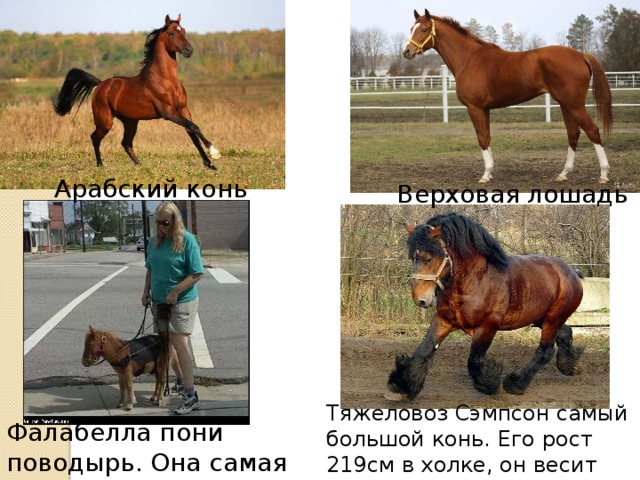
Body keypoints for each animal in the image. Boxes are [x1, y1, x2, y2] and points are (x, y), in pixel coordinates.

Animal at [53, 14, 221, 170]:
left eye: (184, 31)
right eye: (172, 33)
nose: (189, 50)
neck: (166, 80)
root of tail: (100, 84)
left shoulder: (183, 109)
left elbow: (192, 132)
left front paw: (209, 164)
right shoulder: (168, 112)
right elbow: (194, 127)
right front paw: (215, 152)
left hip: (130, 121)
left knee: (126, 143)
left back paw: (139, 164)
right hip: (105, 121)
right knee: (95, 137)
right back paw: (101, 165)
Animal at [386, 212, 584, 401]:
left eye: (428, 259)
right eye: (412, 258)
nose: (420, 299)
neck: (475, 280)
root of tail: (572, 272)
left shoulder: (487, 326)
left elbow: (473, 360)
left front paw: (491, 383)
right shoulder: (444, 320)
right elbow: (423, 351)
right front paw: (400, 387)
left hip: (552, 318)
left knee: (545, 351)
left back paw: (516, 384)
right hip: (541, 319)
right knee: (565, 332)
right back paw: (570, 365)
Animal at [403, 9, 612, 184]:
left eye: (423, 29)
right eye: (412, 28)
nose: (406, 51)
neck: (469, 59)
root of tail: (582, 55)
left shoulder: (475, 108)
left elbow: (481, 138)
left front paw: (485, 175)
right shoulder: (485, 109)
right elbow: (487, 137)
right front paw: (490, 172)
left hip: (574, 105)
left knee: (593, 131)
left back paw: (603, 174)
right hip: (565, 104)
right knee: (573, 134)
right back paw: (563, 174)